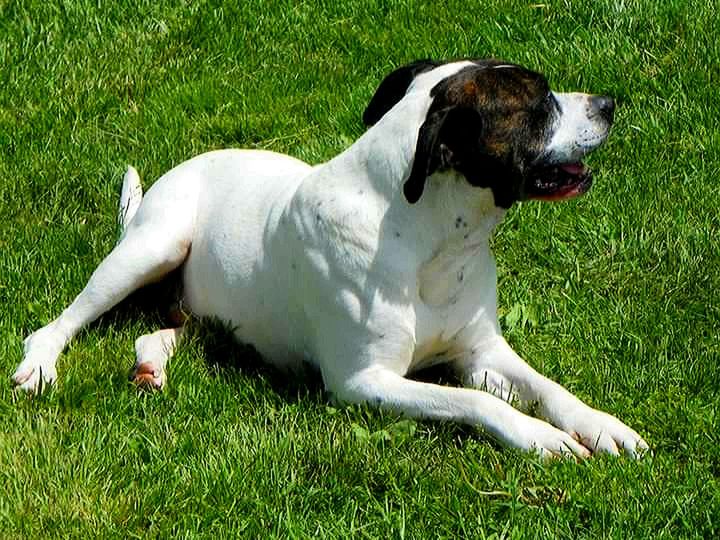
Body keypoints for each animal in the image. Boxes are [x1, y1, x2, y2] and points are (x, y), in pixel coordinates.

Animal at [15, 57, 648, 458]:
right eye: (539, 102)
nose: (610, 103)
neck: (431, 242)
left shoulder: (482, 352)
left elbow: (547, 387)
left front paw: (601, 427)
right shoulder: (363, 382)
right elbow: (472, 401)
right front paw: (542, 439)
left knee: (165, 329)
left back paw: (152, 364)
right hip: (151, 246)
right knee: (60, 322)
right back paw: (41, 365)